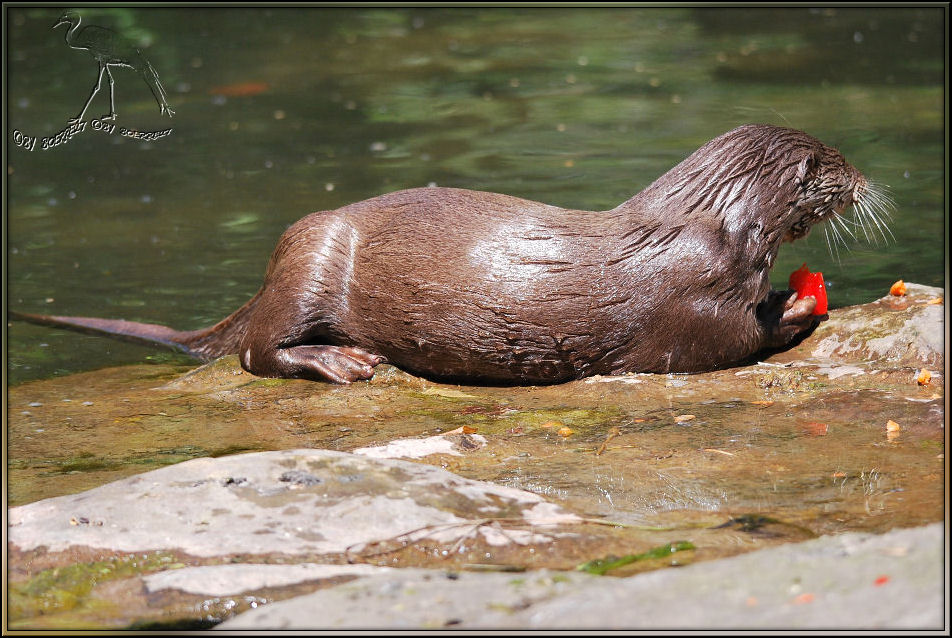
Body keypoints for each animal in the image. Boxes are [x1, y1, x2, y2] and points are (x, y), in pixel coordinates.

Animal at [13, 124, 892, 384]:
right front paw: (799, 304)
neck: (715, 222)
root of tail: (273, 261)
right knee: (256, 352)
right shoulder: (691, 304)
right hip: (312, 260)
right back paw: (343, 362)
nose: (869, 181)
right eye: (841, 165)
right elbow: (727, 340)